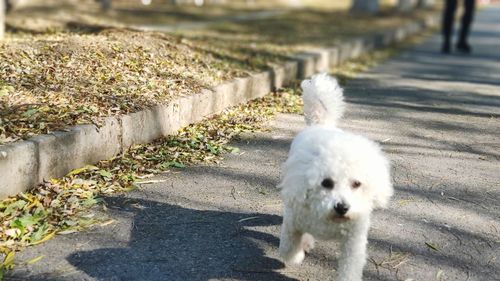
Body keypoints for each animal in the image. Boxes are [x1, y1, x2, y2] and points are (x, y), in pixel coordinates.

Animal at [280, 72, 392, 280]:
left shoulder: (353, 242)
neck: (330, 218)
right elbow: (288, 248)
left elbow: (350, 268)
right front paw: (297, 255)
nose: (343, 207)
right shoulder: (293, 220)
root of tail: (321, 124)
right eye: (326, 183)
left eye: (357, 184)